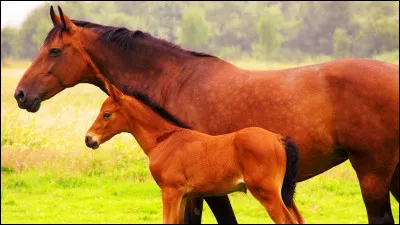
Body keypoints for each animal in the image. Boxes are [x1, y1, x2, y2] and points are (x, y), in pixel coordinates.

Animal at [84, 78, 304, 224]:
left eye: (106, 114)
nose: (89, 139)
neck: (165, 140)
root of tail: (279, 139)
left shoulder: (170, 191)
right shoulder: (183, 196)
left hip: (267, 193)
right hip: (282, 194)